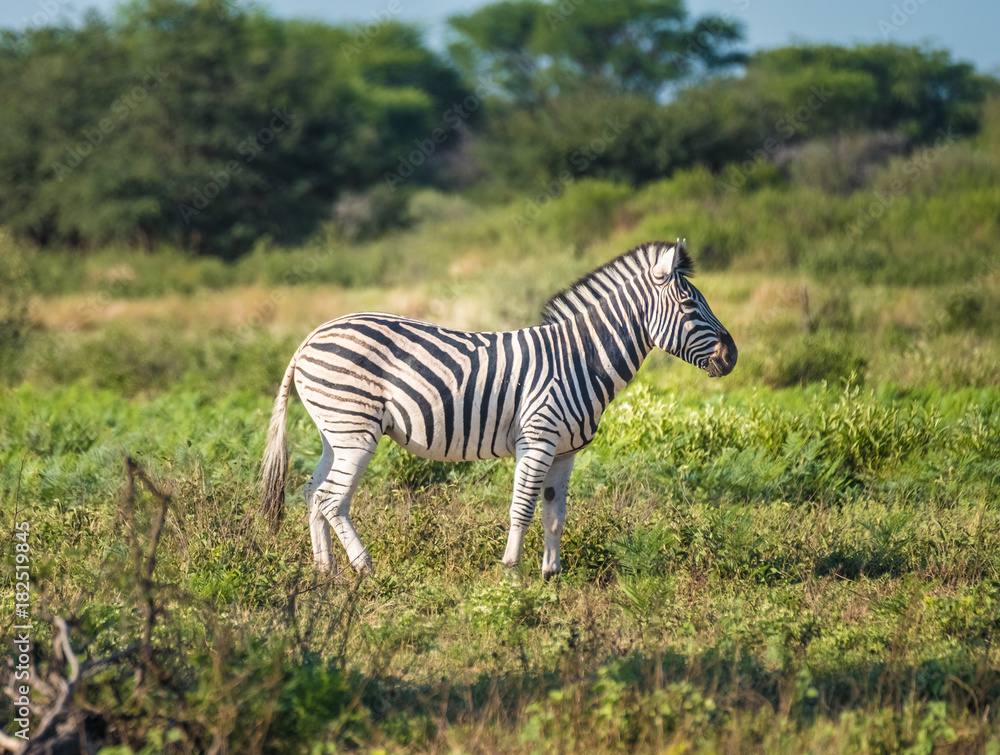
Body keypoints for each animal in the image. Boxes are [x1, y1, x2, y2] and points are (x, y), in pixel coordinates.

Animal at [261, 239, 737, 579]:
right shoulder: (537, 439)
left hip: (335, 434)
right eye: (689, 305)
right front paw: (511, 572)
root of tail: (310, 337)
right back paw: (364, 569)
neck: (579, 359)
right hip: (355, 431)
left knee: (311, 492)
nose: (731, 356)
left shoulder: (565, 452)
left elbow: (555, 514)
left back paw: (326, 572)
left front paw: (551, 575)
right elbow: (522, 507)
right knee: (331, 499)